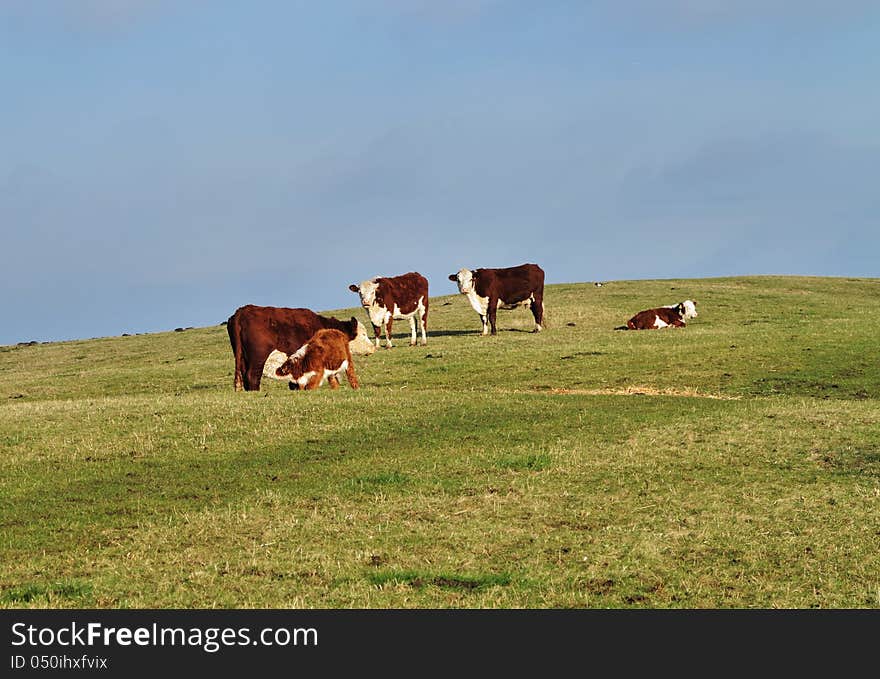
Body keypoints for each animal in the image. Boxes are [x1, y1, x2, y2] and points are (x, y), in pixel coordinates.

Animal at [227, 304, 374, 390]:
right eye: (363, 334)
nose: (373, 348)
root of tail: (242, 311)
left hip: (242, 357)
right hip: (258, 357)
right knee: (252, 376)